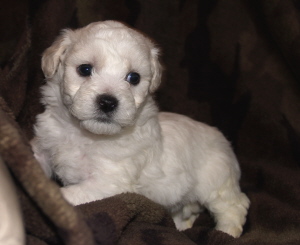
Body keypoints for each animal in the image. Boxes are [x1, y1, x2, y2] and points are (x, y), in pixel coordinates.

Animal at [31, 21, 250, 237]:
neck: (84, 134)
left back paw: (226, 232)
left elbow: (66, 195)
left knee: (234, 206)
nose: (108, 102)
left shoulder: (108, 183)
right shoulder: (45, 145)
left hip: (216, 181)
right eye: (85, 69)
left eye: (133, 78)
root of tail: (226, 144)